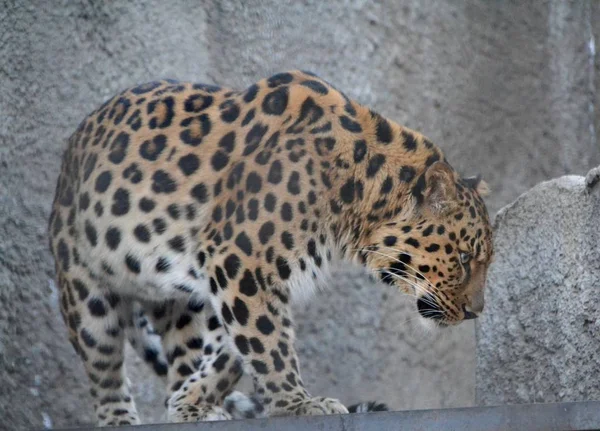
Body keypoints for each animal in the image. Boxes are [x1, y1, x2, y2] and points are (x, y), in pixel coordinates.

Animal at [49, 69, 492, 426]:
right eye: (464, 257)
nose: (475, 312)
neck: (351, 189)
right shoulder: (237, 260)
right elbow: (266, 340)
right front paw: (297, 404)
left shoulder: (239, 277)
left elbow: (234, 348)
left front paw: (191, 403)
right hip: (85, 293)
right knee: (104, 369)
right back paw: (119, 419)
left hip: (181, 305)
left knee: (182, 351)